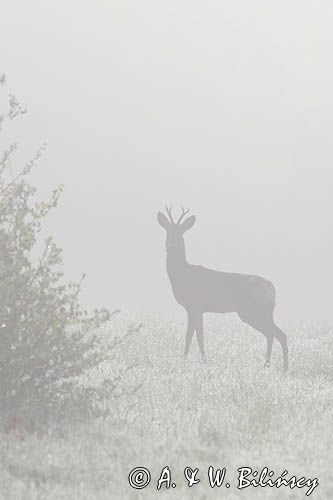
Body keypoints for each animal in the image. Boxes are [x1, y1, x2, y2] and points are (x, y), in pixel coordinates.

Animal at [157, 204, 286, 372]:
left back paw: (267, 365)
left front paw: (197, 360)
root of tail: (272, 288)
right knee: (280, 334)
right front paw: (190, 359)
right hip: (263, 312)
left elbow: (195, 335)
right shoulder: (194, 309)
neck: (183, 274)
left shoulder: (195, 306)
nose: (172, 242)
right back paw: (282, 367)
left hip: (251, 311)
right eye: (168, 230)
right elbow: (194, 335)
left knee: (272, 333)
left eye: (181, 232)